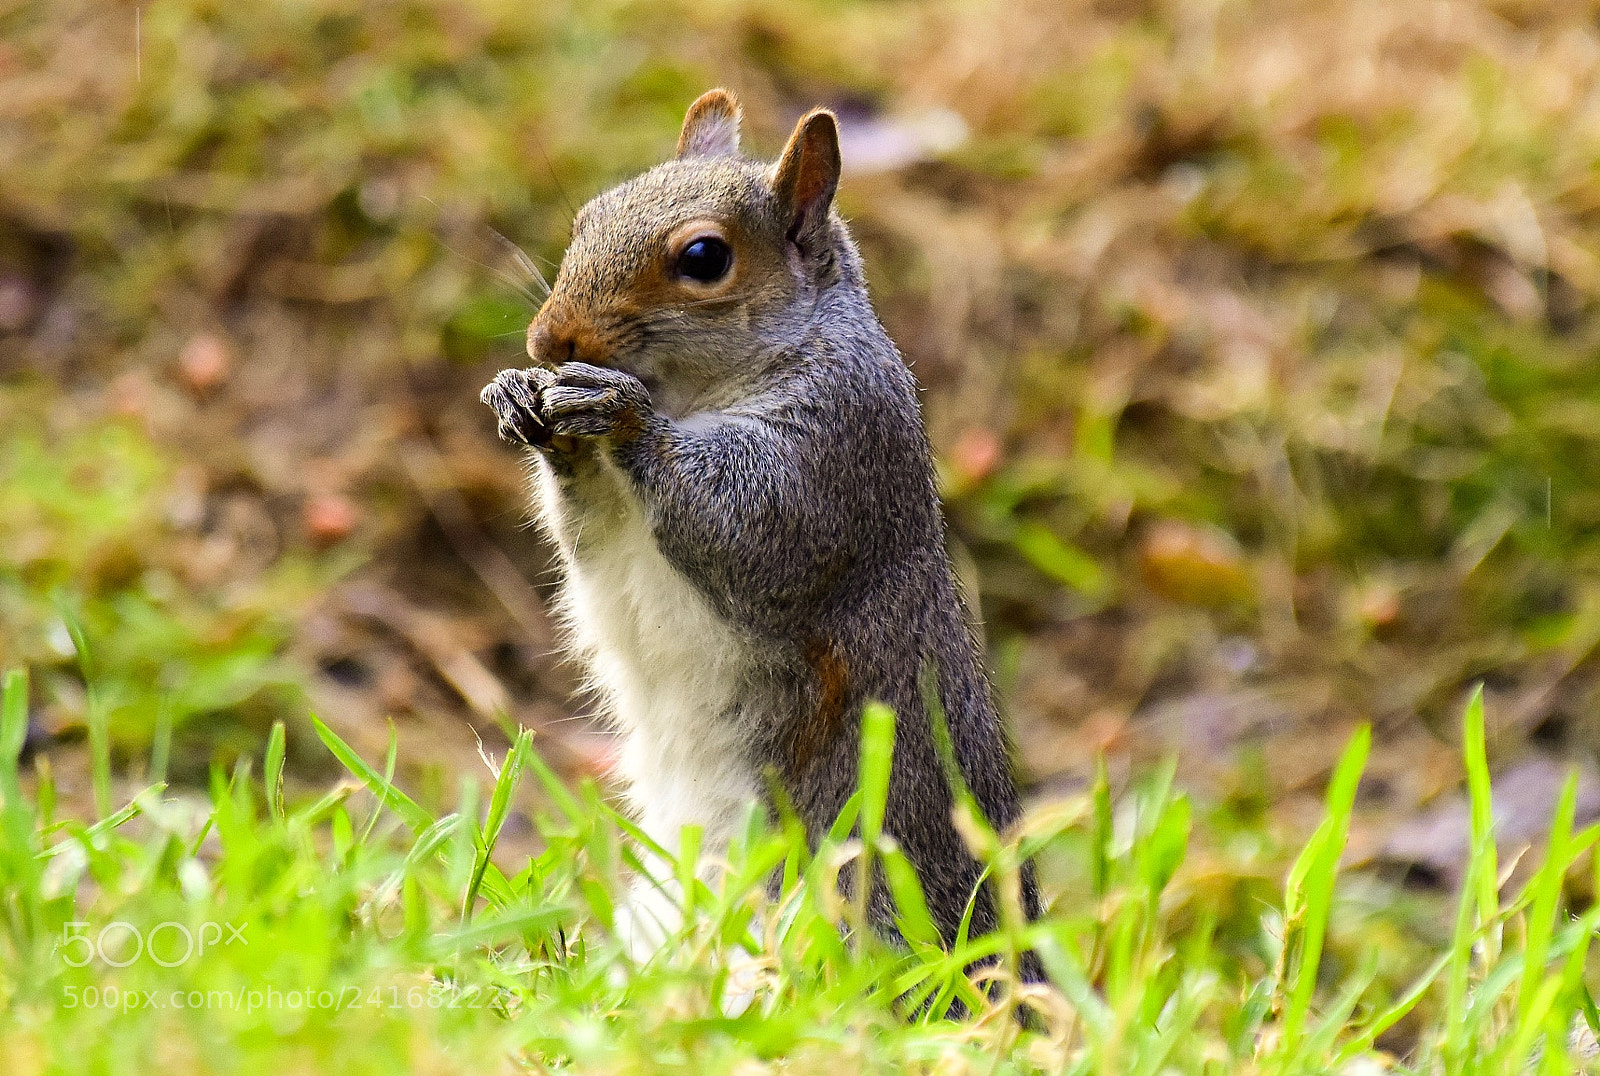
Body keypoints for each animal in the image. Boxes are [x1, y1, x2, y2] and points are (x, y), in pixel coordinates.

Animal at [481, 89, 1040, 964]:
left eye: (705, 257)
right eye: (588, 217)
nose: (548, 340)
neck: (693, 393)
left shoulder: (836, 453)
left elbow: (753, 533)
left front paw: (622, 412)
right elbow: (590, 539)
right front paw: (523, 399)